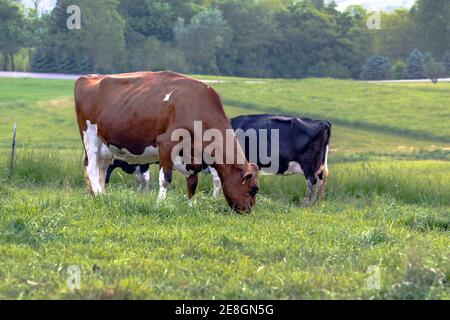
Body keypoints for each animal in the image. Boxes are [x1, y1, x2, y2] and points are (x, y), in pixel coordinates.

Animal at [74, 71, 260, 214]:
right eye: (253, 189)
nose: (248, 212)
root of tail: (89, 77)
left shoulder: (191, 158)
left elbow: (193, 182)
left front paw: (191, 205)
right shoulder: (166, 144)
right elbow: (166, 179)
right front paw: (160, 204)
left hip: (106, 147)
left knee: (102, 170)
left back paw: (102, 195)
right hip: (90, 137)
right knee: (91, 168)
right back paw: (98, 196)